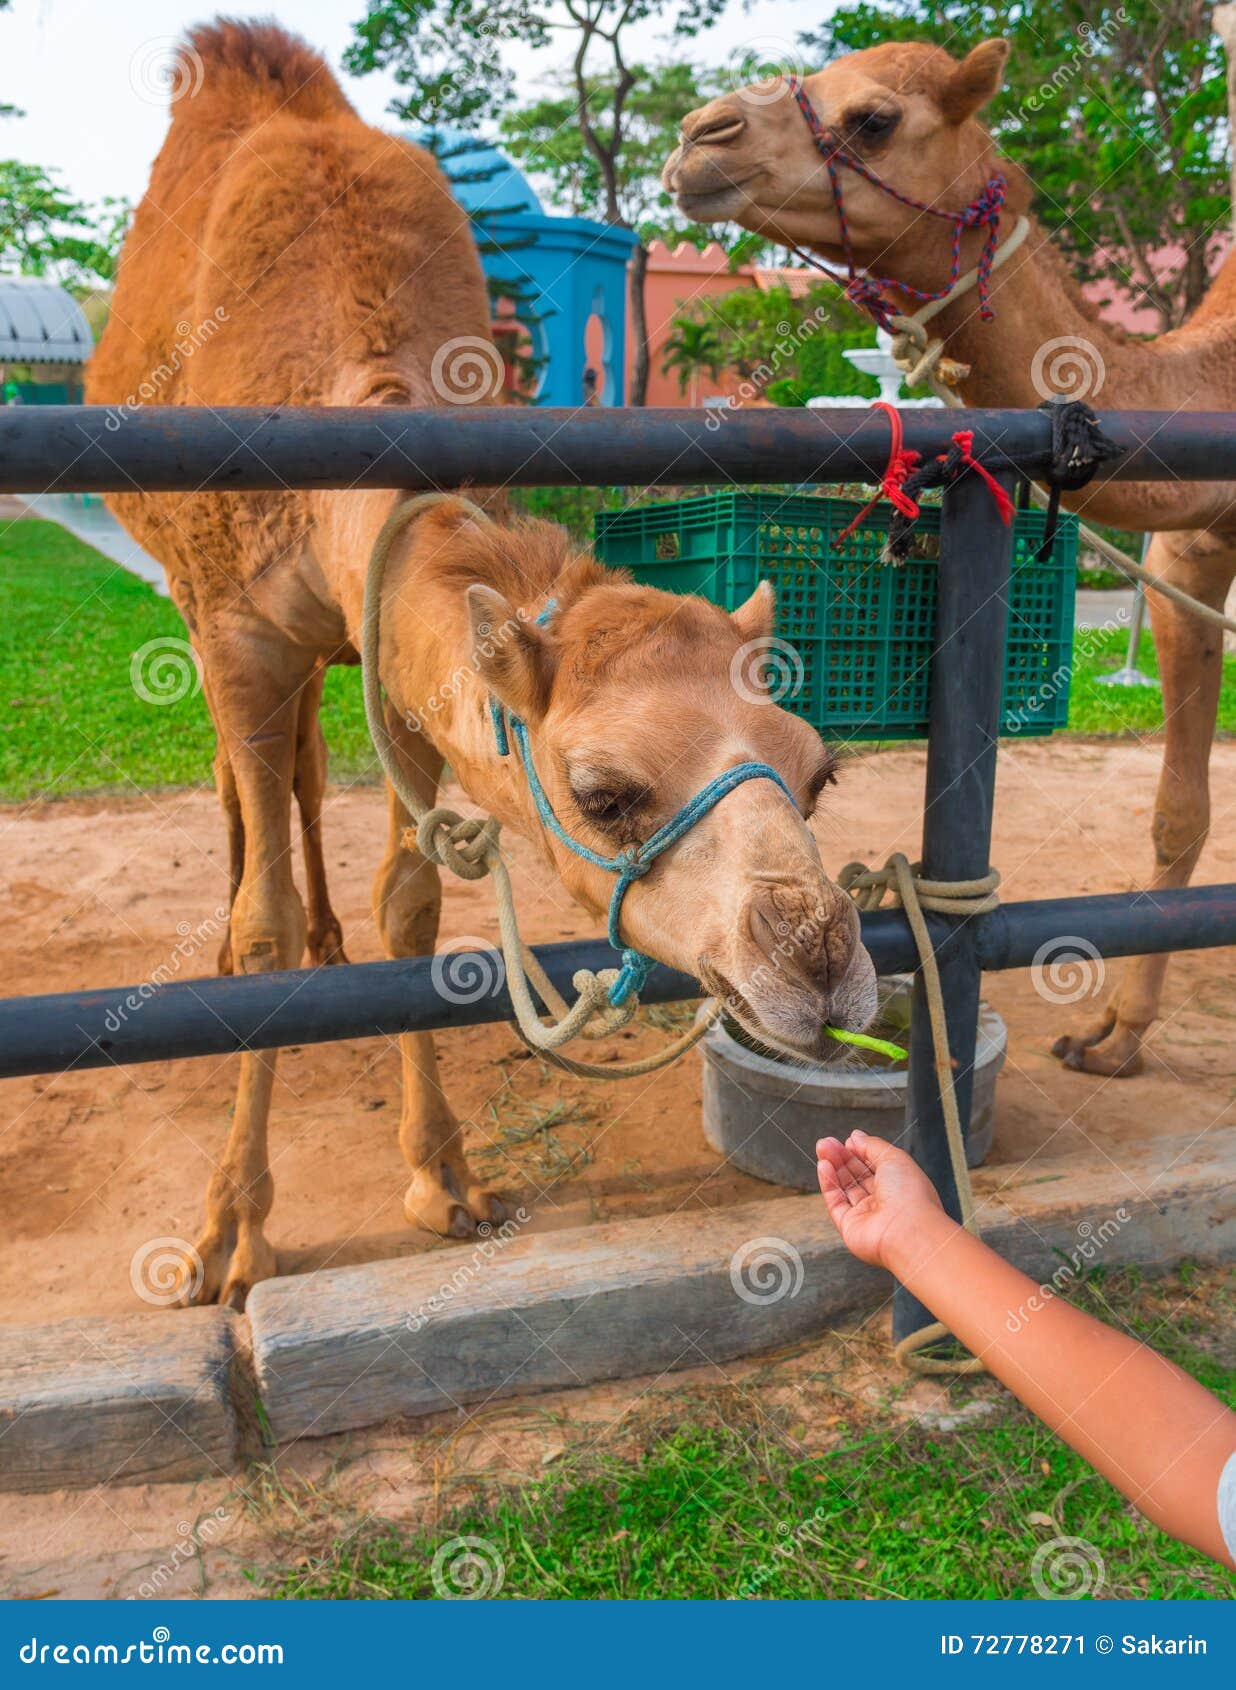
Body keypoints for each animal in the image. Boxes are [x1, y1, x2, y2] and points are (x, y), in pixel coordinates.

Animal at [85, 19, 875, 1309]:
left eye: (818, 773)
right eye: (604, 794)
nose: (818, 959)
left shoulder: (397, 664)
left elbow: (409, 905)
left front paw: (444, 1177)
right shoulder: (238, 632)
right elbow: (262, 921)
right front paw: (227, 1235)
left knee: (304, 777)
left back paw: (331, 943)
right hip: (198, 614)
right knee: (245, 792)